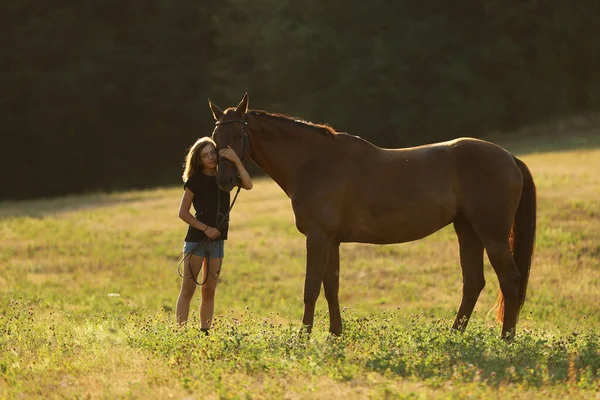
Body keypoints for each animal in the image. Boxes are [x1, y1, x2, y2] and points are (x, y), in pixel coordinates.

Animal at [209, 94, 536, 340]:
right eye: (214, 137)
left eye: (239, 134)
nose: (224, 180)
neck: (315, 162)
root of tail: (509, 157)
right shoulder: (331, 241)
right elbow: (331, 287)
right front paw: (334, 335)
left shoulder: (318, 237)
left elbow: (311, 288)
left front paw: (303, 338)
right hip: (467, 230)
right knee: (473, 283)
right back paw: (454, 337)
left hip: (492, 234)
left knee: (509, 280)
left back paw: (506, 340)